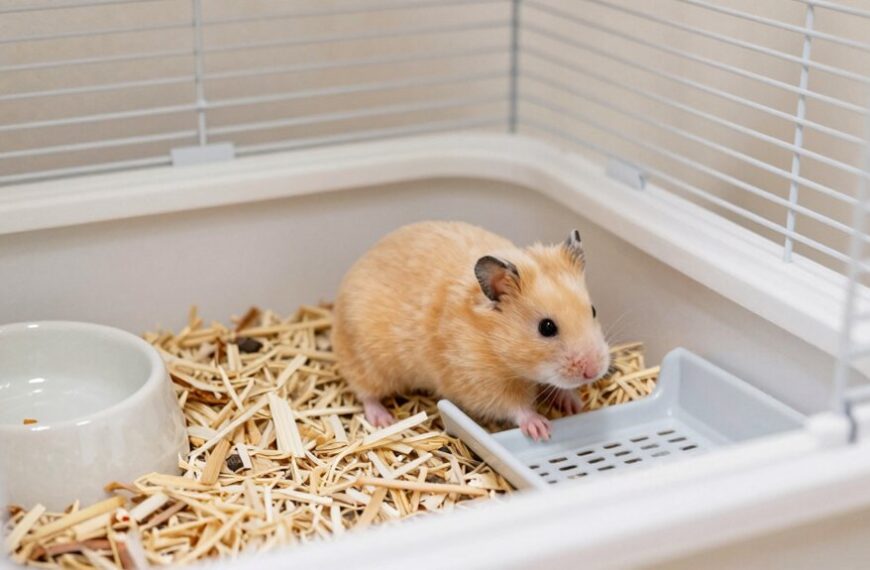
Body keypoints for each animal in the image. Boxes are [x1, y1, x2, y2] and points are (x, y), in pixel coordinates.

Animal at [332, 221, 610, 441]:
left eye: (594, 310)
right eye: (547, 327)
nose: (594, 371)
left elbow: (559, 387)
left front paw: (576, 404)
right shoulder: (478, 382)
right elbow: (513, 406)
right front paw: (540, 427)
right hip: (367, 361)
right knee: (366, 393)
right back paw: (384, 420)